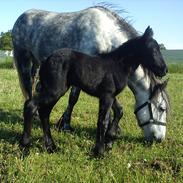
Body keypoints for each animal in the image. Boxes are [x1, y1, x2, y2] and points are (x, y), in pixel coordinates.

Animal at [12, 6, 169, 143]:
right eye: (162, 108)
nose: (159, 139)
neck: (105, 32)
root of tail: (22, 16)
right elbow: (73, 98)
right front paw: (65, 124)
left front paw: (113, 129)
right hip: (23, 58)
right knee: (28, 86)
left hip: (37, 63)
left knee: (35, 86)